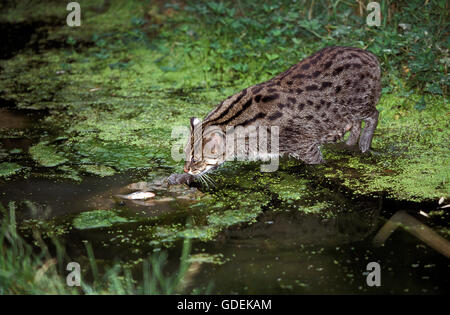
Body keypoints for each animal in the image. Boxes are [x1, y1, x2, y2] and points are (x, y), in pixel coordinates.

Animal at [182, 45, 380, 177]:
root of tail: (370, 55)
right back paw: (349, 143)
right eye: (185, 155)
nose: (185, 169)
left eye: (195, 159)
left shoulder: (305, 146)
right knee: (355, 123)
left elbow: (317, 162)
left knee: (374, 114)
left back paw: (364, 143)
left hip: (357, 103)